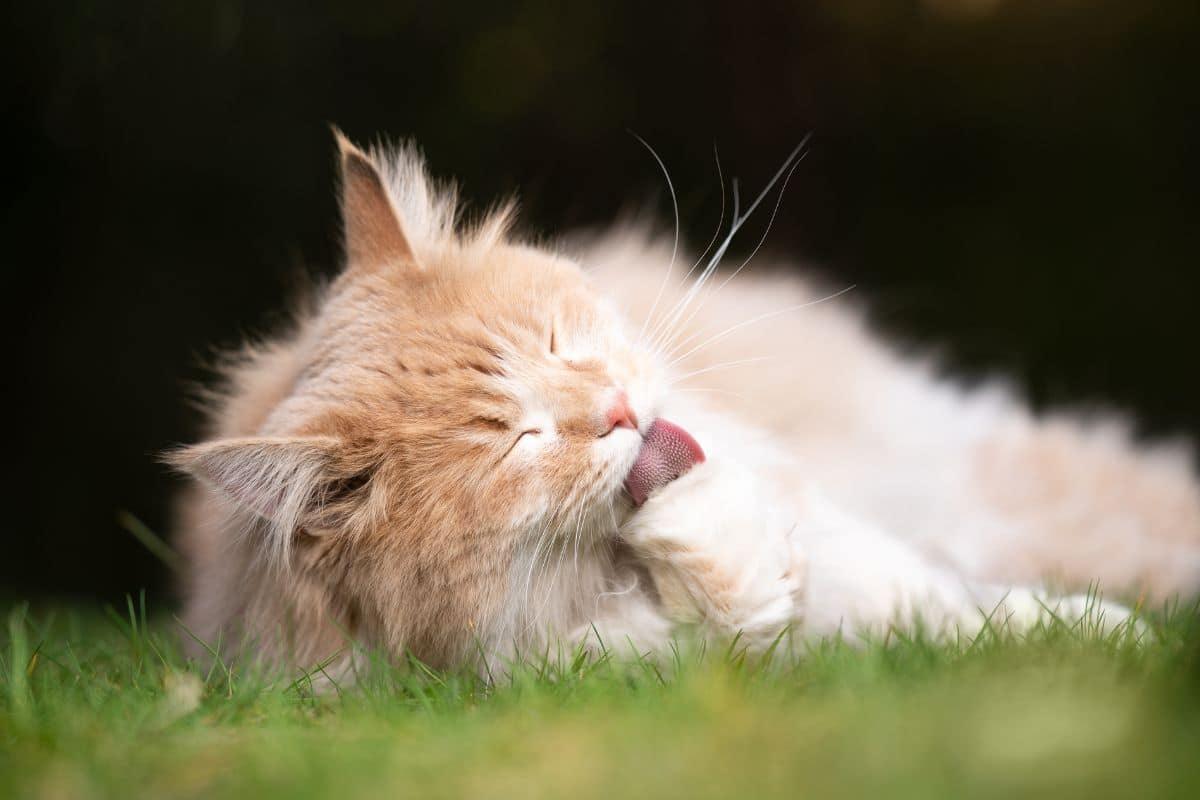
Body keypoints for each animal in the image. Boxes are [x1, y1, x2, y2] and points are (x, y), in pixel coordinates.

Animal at [169, 133, 1200, 676]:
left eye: (557, 342)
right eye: (516, 440)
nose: (620, 409)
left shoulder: (879, 555)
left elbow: (972, 613)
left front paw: (1107, 638)